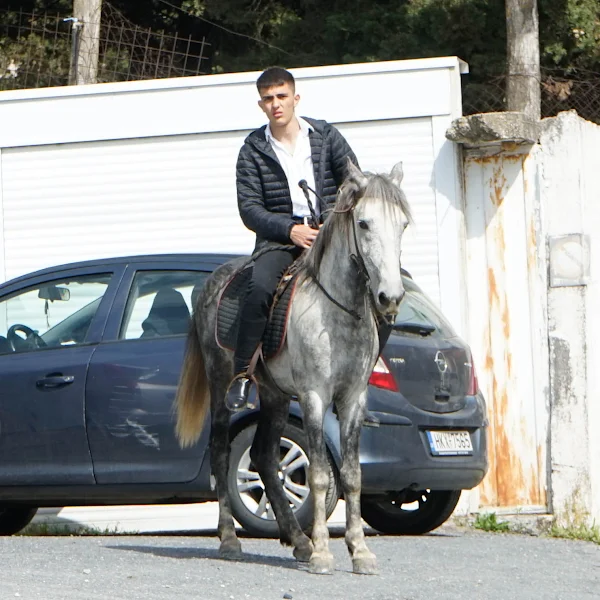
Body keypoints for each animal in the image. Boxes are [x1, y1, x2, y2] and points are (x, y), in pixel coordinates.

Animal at [174, 160, 412, 575]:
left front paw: (359, 551)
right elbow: (318, 476)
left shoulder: (353, 398)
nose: (390, 297)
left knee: (264, 458)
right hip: (222, 387)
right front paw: (323, 554)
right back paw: (230, 539)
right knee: (221, 454)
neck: (337, 310)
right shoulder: (315, 396)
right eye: (364, 223)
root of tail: (211, 285)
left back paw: (297, 540)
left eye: (402, 225)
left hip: (275, 396)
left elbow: (352, 475)